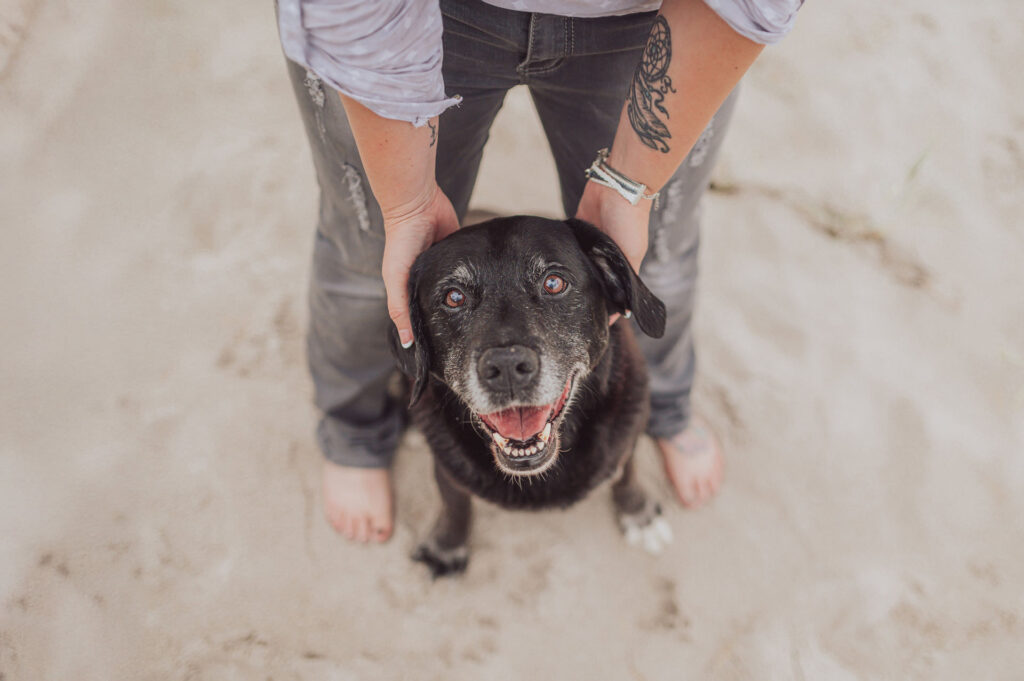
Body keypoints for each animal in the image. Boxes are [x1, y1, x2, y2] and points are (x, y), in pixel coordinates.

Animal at [391, 215, 671, 577]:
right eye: (453, 297)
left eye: (553, 283)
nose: (507, 366)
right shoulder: (447, 462)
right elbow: (454, 500)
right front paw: (447, 546)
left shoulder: (629, 429)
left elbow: (627, 470)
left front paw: (638, 513)